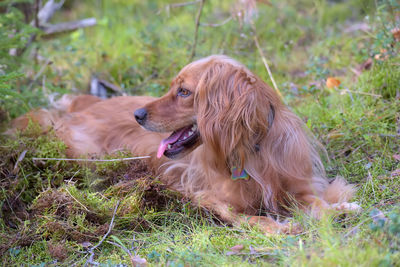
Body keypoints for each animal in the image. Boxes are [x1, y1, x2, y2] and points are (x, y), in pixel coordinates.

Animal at [10, 55, 360, 234]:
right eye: (174, 88)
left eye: (184, 91)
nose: (137, 114)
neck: (250, 149)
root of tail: (80, 105)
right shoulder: (210, 196)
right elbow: (247, 217)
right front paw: (278, 226)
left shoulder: (297, 186)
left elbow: (318, 204)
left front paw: (340, 209)